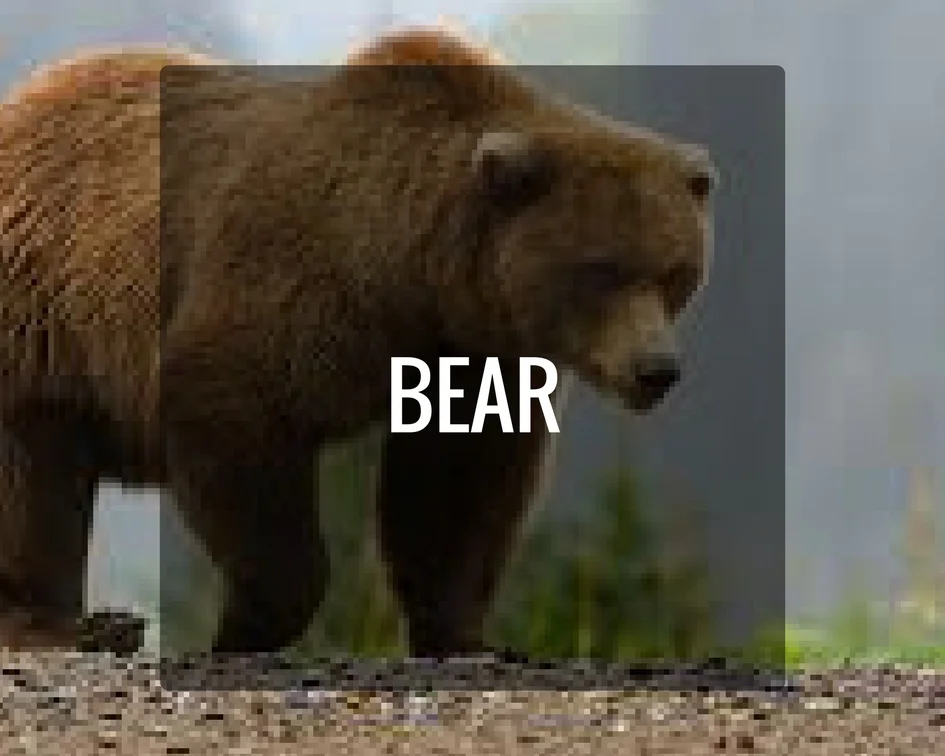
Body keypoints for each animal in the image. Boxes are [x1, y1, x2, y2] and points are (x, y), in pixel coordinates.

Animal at [0, 27, 716, 656]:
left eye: (675, 271)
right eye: (602, 270)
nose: (656, 368)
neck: (415, 275)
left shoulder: (467, 354)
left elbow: (457, 490)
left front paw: (465, 636)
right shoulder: (296, 283)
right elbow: (233, 410)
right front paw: (245, 626)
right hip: (45, 309)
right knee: (37, 474)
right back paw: (70, 625)